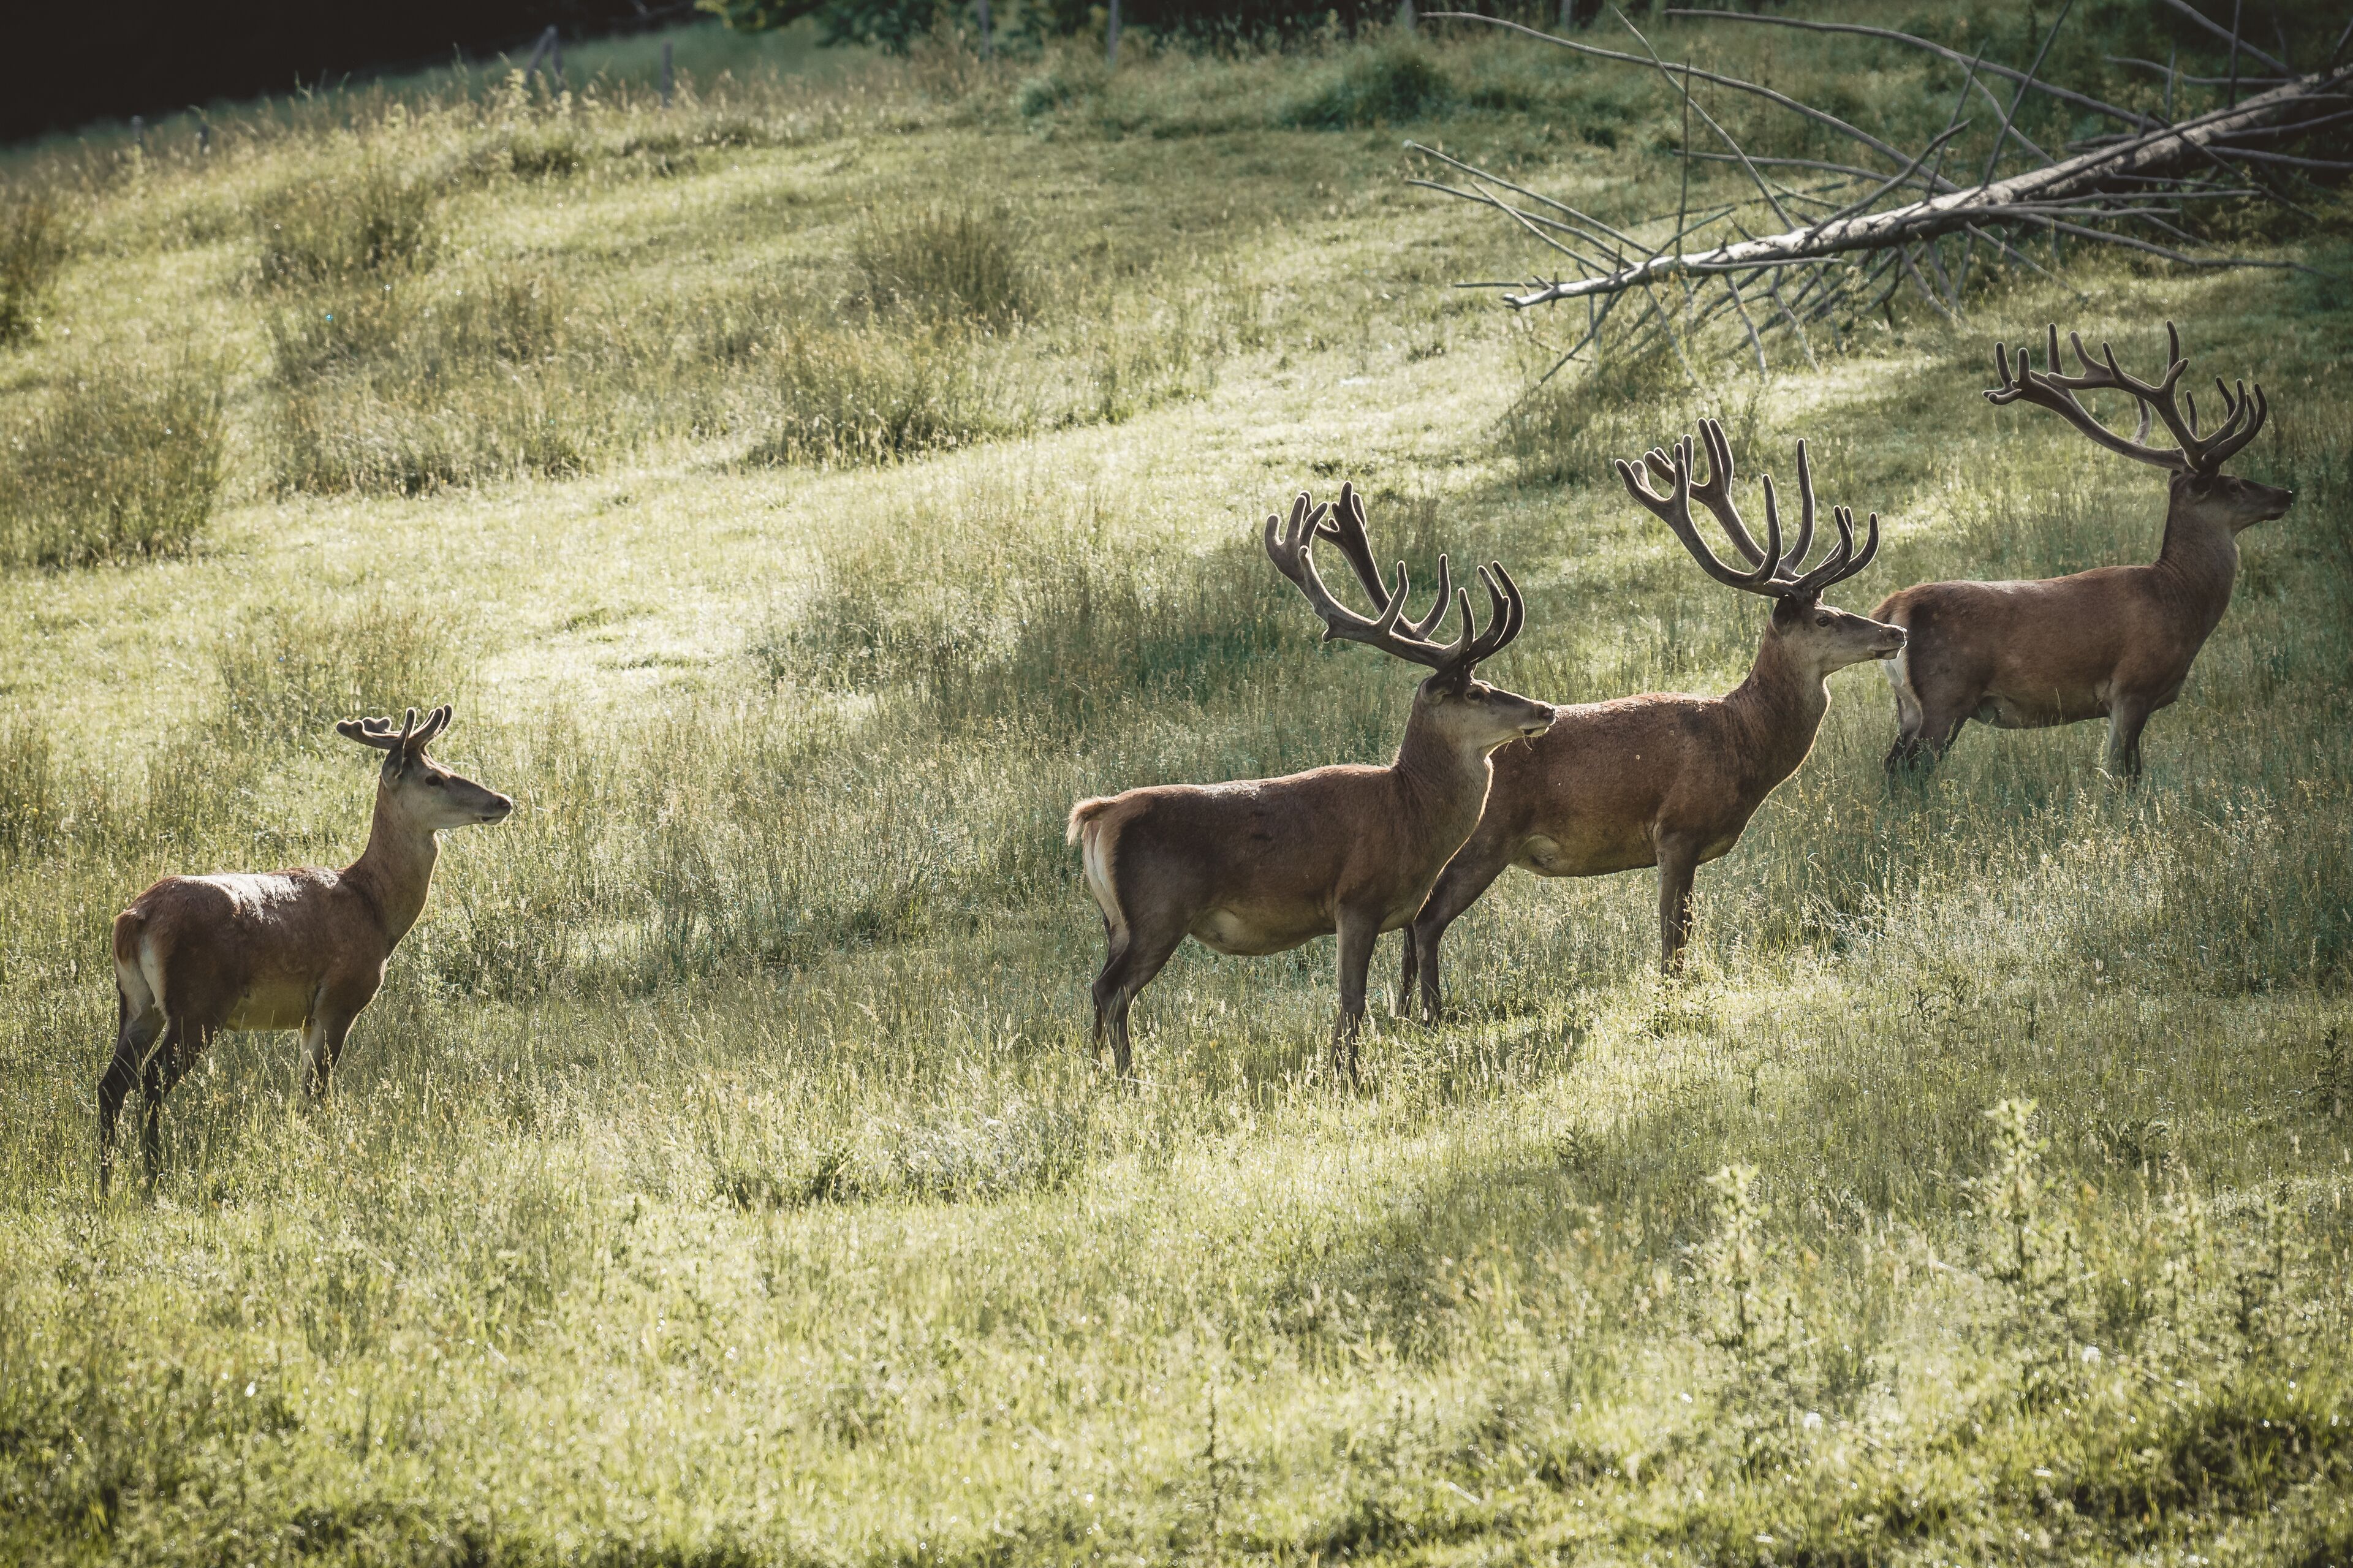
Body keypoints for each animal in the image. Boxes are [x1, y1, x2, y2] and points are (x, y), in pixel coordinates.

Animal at [99, 706, 512, 1194]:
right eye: (435, 777)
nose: (502, 801)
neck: (375, 910)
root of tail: (134, 919)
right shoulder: (339, 997)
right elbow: (318, 1093)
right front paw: (321, 1160)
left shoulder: (306, 1016)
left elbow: (304, 1093)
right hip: (197, 1002)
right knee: (152, 1079)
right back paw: (154, 1176)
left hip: (138, 1002)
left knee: (111, 1084)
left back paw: (105, 1184)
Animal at [1066, 484, 1555, 1082]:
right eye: (1475, 692)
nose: (1545, 709)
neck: (1410, 810)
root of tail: (1099, 814)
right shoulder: (1356, 899)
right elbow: (1352, 1001)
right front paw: (1349, 1077)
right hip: (1158, 911)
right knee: (1111, 991)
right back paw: (1128, 1079)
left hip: (1115, 921)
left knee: (1099, 988)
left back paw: (1097, 1073)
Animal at [1403, 420, 1904, 1015]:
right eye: (1825, 619)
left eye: (1836, 606)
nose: (1895, 632)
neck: (1741, 742)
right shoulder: (1677, 829)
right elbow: (1673, 939)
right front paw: (1671, 1002)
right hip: (1484, 837)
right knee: (1426, 921)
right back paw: (1432, 1015)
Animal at [1878, 322, 2292, 779]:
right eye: (2233, 485)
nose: (2286, 494)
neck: (2179, 599)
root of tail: (1893, 608)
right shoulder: (2131, 688)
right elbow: (2121, 775)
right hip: (1946, 694)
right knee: (1910, 774)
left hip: (1909, 704)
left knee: (1890, 767)